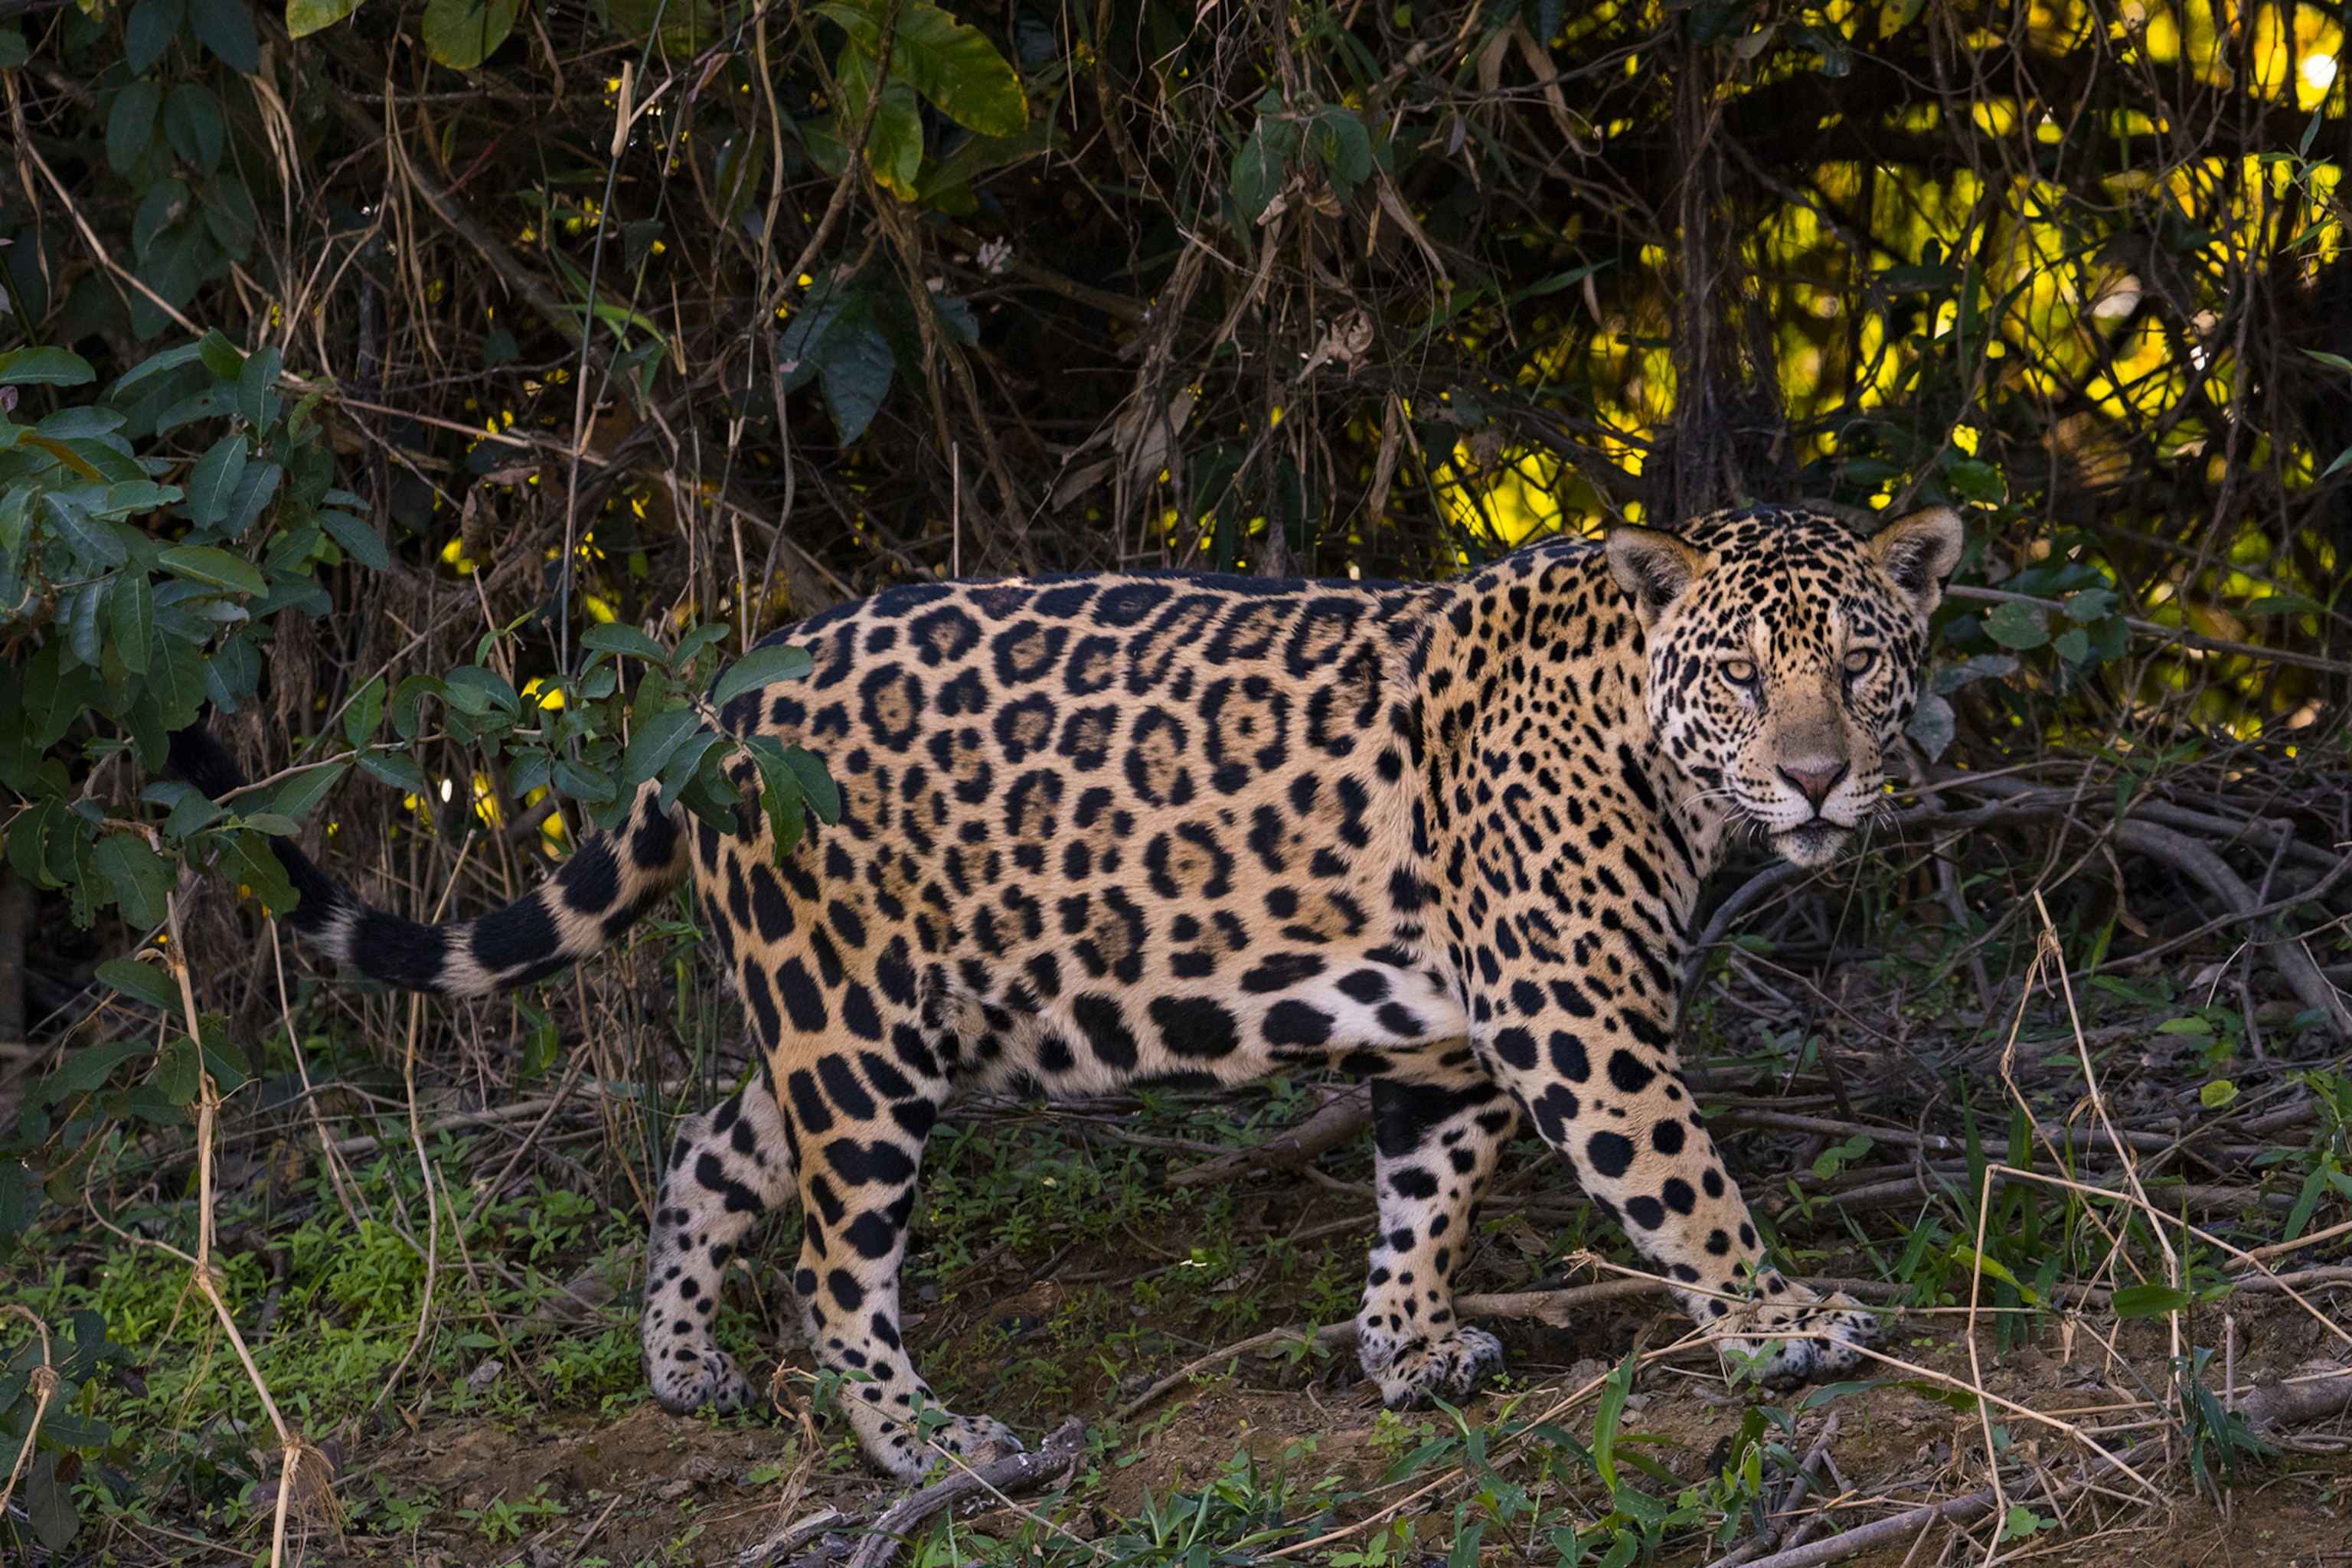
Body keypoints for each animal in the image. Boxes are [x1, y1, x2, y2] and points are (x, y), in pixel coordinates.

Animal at [173, 501, 1962, 1480]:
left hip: (835, 1016)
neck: (1652, 751)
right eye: (1738, 671)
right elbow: (1680, 1179)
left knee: (712, 1151)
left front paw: (1403, 1348)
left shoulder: (1455, 1038)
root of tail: (731, 696)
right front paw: (1782, 1321)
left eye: (1860, 662)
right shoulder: (1570, 1013)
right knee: (833, 1273)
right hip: (859, 1035)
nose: (1819, 779)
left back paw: (682, 1366)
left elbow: (1426, 1194)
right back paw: (931, 1444)